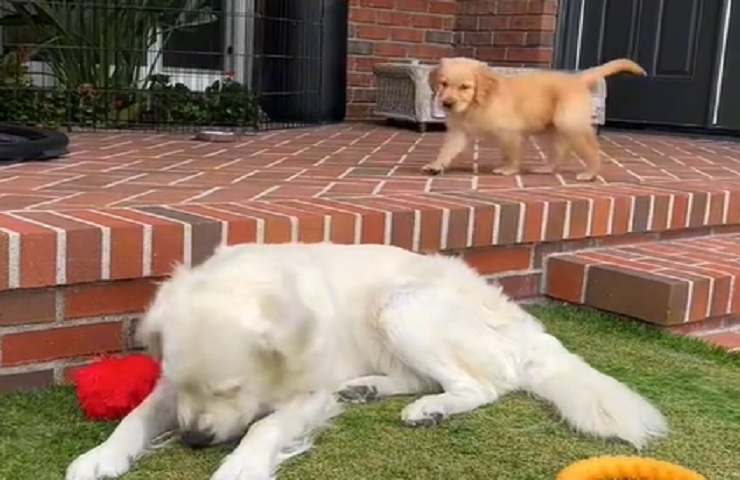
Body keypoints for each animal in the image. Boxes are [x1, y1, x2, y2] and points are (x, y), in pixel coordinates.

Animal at [424, 57, 644, 182]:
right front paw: (436, 165)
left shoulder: (509, 132)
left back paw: (590, 173)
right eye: (443, 84)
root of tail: (577, 78)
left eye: (464, 87)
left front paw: (508, 169)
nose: (447, 103)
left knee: (592, 149)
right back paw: (546, 168)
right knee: (559, 151)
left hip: (570, 122)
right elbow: (447, 150)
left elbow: (510, 153)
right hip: (549, 129)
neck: (475, 104)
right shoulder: (458, 131)